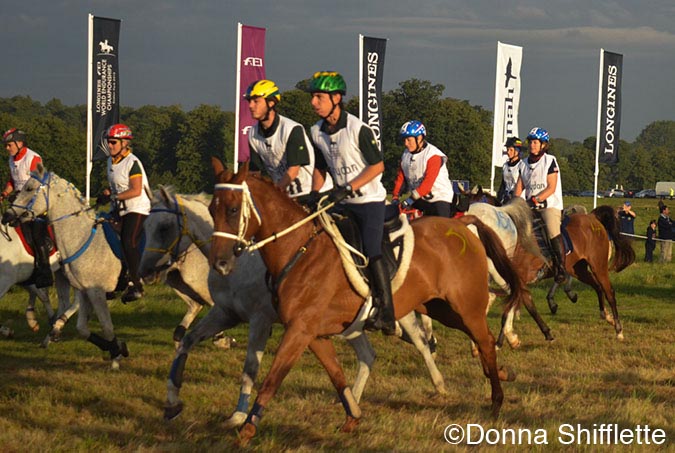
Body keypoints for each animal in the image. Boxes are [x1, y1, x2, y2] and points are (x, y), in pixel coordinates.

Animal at [1, 164, 129, 370]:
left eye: (29, 188)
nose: (7, 216)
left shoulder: (6, 280)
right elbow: (42, 295)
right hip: (64, 275)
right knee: (66, 302)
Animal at [145, 185, 446, 426]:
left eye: (164, 227)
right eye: (146, 224)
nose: (145, 271)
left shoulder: (260, 320)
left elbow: (250, 367)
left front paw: (239, 414)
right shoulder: (225, 313)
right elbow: (187, 341)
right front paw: (172, 402)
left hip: (396, 311)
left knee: (419, 341)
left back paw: (439, 385)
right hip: (351, 322)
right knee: (368, 355)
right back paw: (352, 401)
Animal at [209, 158, 524, 442]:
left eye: (234, 209)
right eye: (212, 209)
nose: (219, 262)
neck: (299, 249)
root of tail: (463, 226)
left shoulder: (299, 330)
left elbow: (272, 378)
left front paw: (247, 428)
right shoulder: (314, 334)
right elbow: (336, 375)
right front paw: (352, 417)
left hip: (465, 306)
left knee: (485, 340)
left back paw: (497, 398)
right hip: (442, 308)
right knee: (481, 340)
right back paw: (500, 373)